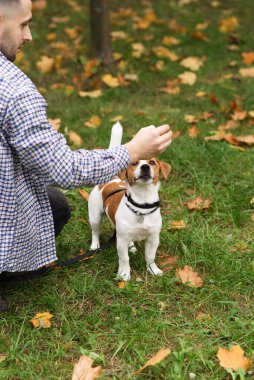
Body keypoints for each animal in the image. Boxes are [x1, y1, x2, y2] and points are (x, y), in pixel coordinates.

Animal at [88, 121, 172, 280]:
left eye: (152, 162)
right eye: (134, 163)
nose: (145, 166)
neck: (142, 204)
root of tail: (112, 178)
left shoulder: (153, 238)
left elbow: (150, 256)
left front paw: (153, 269)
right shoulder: (120, 240)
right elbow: (124, 259)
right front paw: (124, 274)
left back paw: (132, 246)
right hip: (95, 216)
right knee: (95, 231)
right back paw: (95, 245)